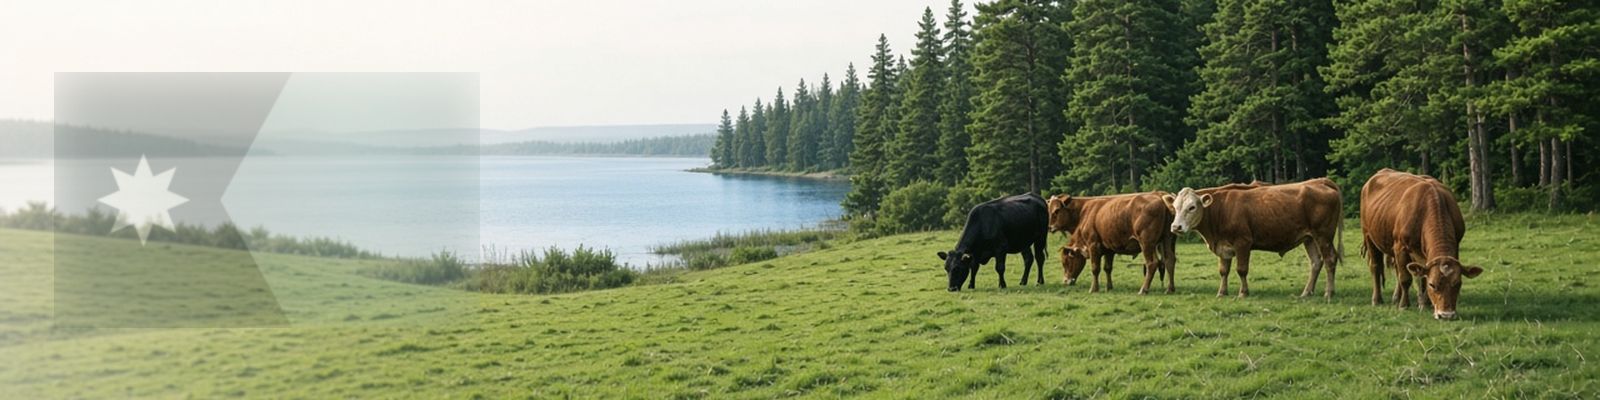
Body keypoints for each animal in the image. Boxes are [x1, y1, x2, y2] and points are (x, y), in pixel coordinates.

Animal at [1047, 193, 1177, 294]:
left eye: (1066, 262)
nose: (1065, 281)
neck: (1085, 212)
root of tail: (1160, 197)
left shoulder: (1093, 245)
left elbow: (1095, 268)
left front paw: (1094, 289)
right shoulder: (1109, 249)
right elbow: (1107, 268)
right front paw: (1108, 287)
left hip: (1147, 244)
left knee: (1152, 263)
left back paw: (1143, 289)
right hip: (1166, 240)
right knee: (1169, 260)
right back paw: (1170, 289)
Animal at [1165, 179, 1344, 298]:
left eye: (1192, 207)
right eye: (1174, 207)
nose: (1175, 227)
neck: (1221, 208)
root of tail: (1320, 181)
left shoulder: (1243, 242)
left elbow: (1241, 270)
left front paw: (1243, 293)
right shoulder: (1224, 247)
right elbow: (1223, 271)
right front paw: (1222, 292)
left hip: (1323, 236)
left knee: (1330, 259)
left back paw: (1329, 292)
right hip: (1309, 238)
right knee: (1316, 262)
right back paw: (1306, 292)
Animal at [1359, 169, 1483, 320]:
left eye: (1458, 284)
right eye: (1433, 284)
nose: (1446, 315)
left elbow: (1421, 274)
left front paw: (1425, 303)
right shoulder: (1401, 247)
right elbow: (1405, 278)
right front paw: (1404, 305)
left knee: (1398, 269)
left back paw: (1397, 297)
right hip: (1368, 235)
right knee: (1376, 267)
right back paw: (1377, 300)